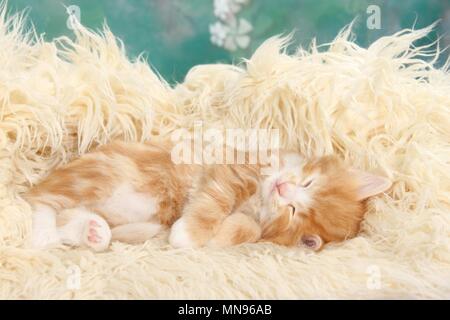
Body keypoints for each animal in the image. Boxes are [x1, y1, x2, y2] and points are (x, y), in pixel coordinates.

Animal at [23, 140, 390, 252]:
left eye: (293, 211)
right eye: (310, 182)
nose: (283, 188)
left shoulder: (260, 224)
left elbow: (250, 229)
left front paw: (219, 236)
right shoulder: (234, 168)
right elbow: (215, 200)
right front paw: (189, 234)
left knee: (66, 215)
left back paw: (92, 232)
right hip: (105, 175)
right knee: (41, 200)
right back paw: (42, 235)